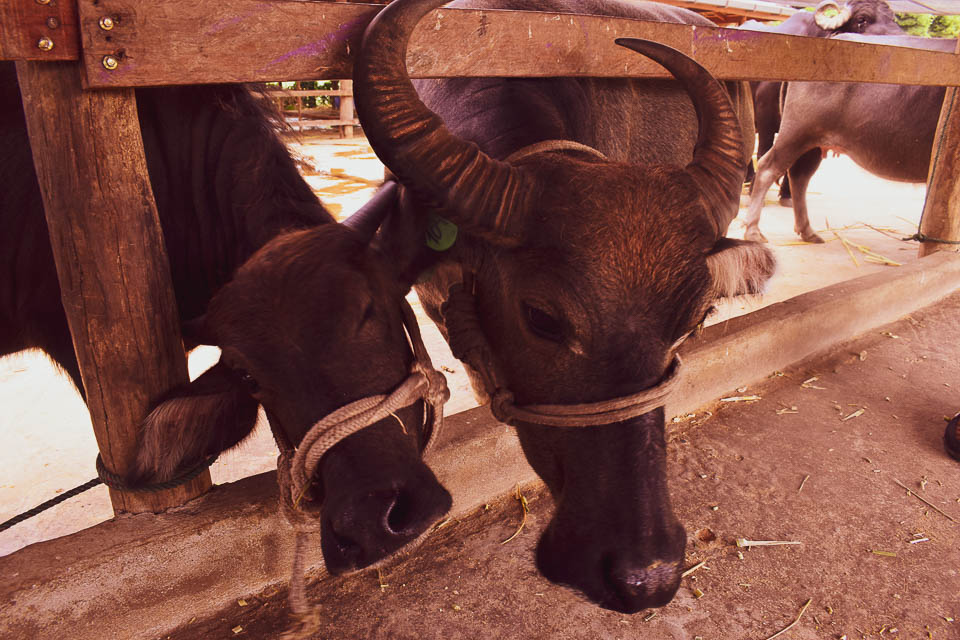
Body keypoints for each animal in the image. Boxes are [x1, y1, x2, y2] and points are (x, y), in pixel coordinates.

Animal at [744, 35, 952, 245]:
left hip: (813, 143)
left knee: (799, 176)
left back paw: (807, 231)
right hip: (796, 132)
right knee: (768, 168)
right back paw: (753, 230)